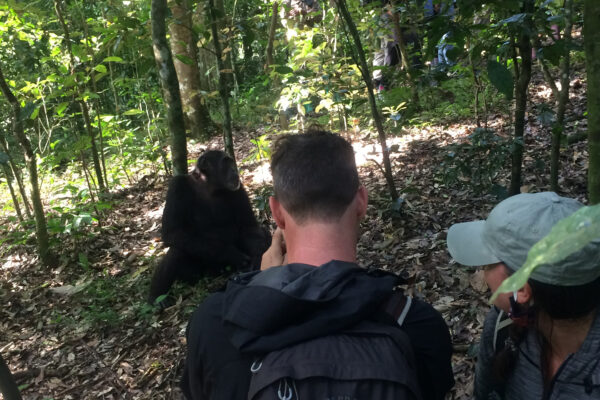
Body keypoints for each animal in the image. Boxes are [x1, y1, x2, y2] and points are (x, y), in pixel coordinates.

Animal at [149, 151, 270, 306]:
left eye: (231, 162)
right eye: (226, 163)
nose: (234, 170)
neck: (207, 186)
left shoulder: (239, 188)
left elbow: (249, 226)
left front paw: (257, 257)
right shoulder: (177, 186)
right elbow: (173, 231)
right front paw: (232, 253)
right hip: (195, 274)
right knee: (176, 251)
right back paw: (157, 297)